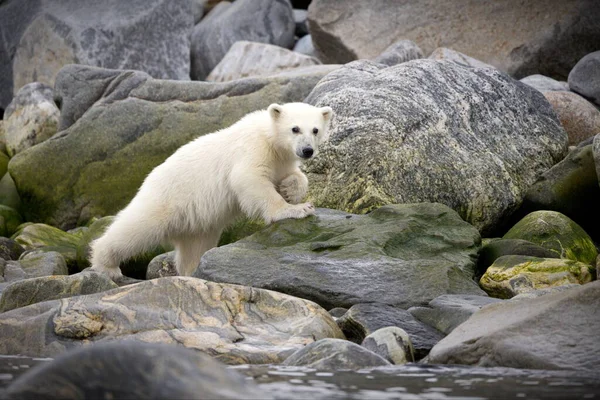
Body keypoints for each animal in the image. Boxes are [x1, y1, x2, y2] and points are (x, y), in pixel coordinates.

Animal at [90, 102, 332, 278]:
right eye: (295, 128)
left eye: (315, 130)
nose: (307, 150)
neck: (269, 138)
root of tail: (149, 179)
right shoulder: (252, 149)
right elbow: (248, 179)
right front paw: (297, 209)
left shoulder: (281, 160)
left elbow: (294, 176)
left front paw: (290, 190)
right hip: (166, 198)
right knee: (135, 228)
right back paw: (106, 264)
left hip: (197, 223)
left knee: (194, 248)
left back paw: (192, 271)